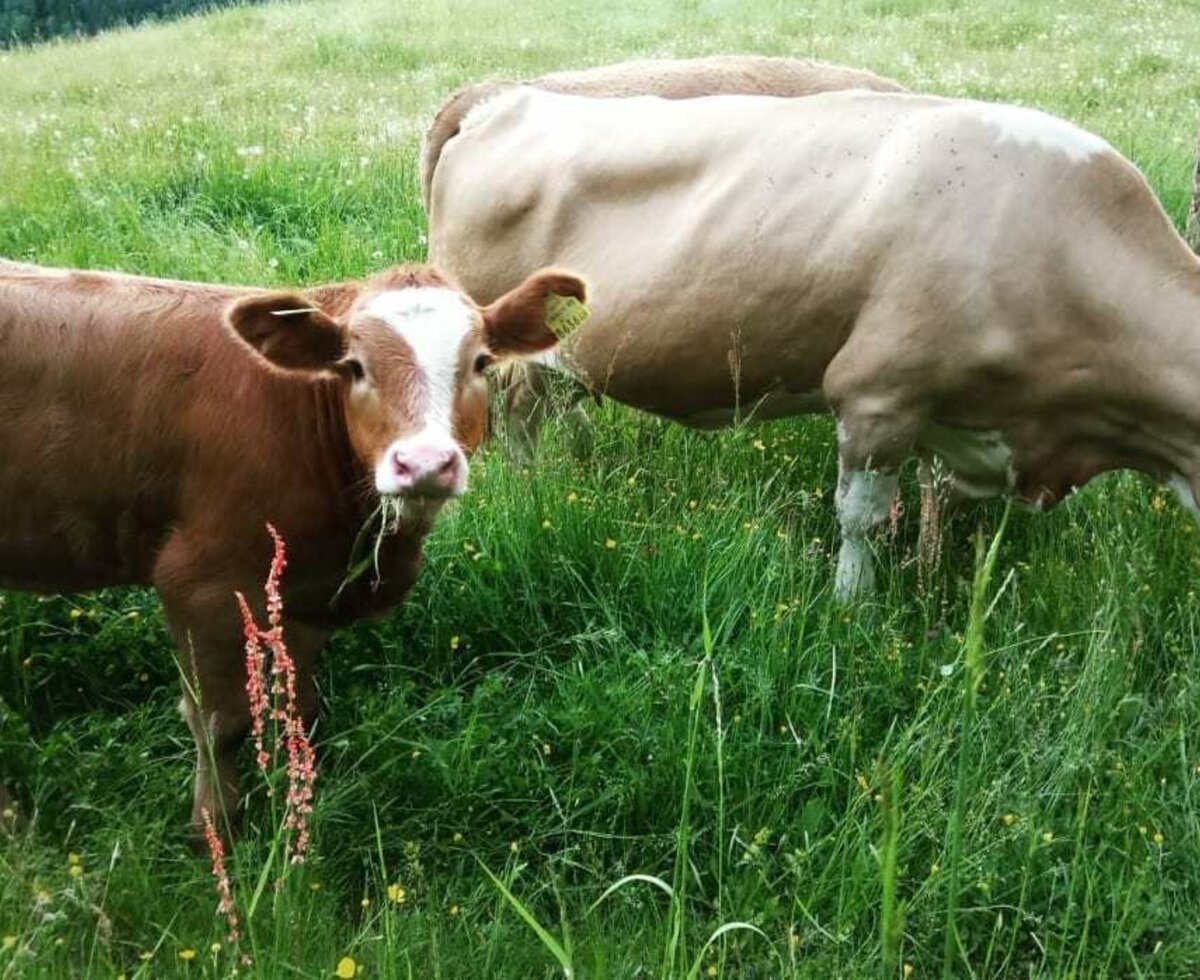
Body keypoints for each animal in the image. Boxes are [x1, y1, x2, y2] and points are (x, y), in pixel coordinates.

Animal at [0, 256, 585, 830]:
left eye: (481, 363)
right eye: (354, 366)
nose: (423, 463)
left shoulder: (307, 593)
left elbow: (302, 706)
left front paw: (303, 794)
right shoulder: (198, 586)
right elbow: (218, 723)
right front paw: (217, 825)